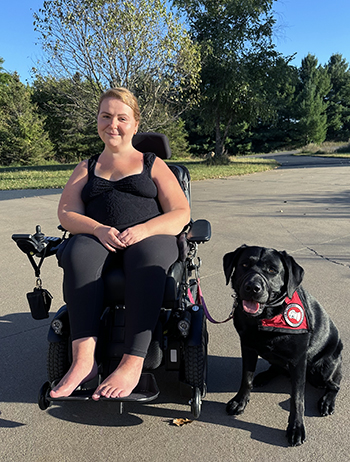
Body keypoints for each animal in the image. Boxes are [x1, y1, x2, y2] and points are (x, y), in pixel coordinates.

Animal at [224, 244, 342, 446]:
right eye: (244, 264)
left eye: (272, 270)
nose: (252, 287)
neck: (266, 317)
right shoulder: (247, 347)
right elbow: (246, 378)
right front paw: (240, 401)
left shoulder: (298, 361)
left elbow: (297, 399)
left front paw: (296, 428)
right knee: (276, 367)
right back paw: (264, 376)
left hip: (321, 369)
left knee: (335, 384)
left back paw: (327, 401)